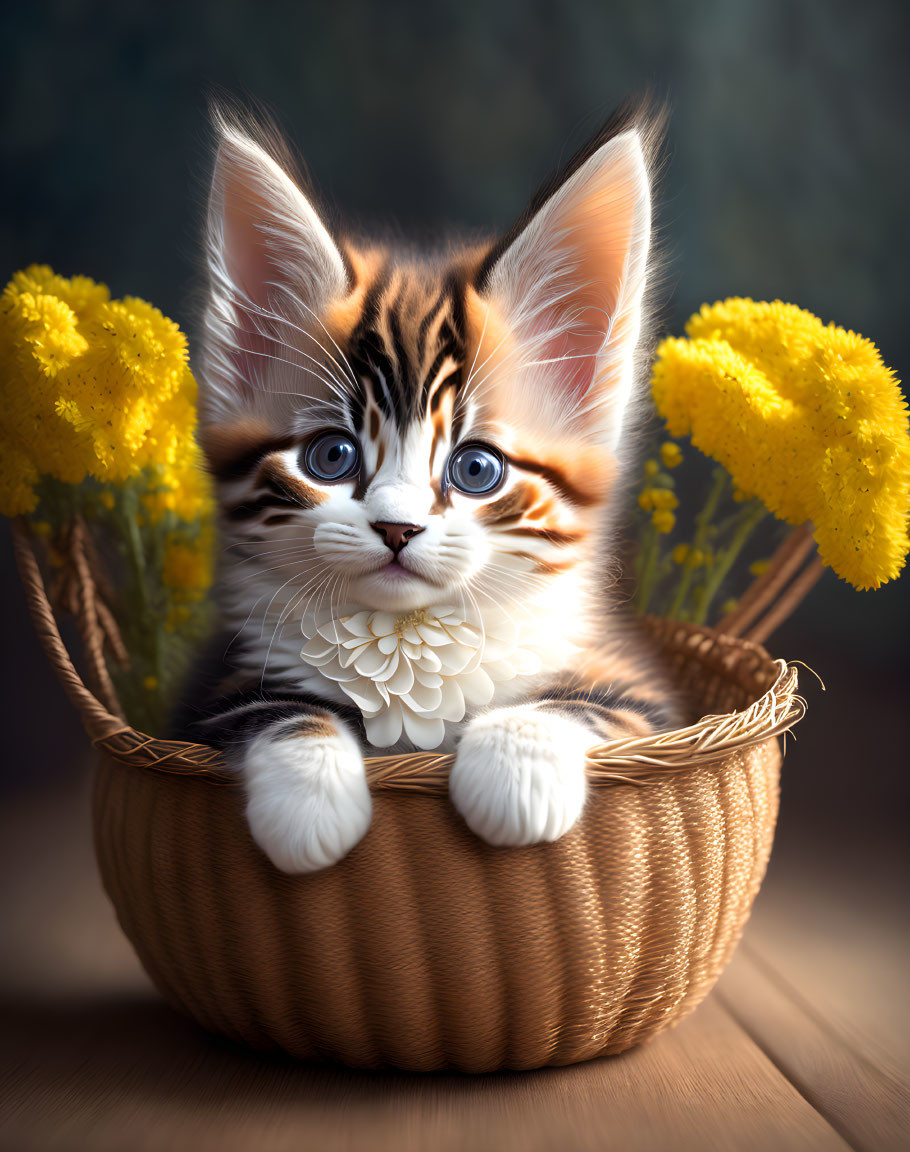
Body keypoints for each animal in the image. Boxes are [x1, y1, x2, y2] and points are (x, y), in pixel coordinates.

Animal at [182, 103, 681, 870]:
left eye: (476, 469)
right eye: (332, 457)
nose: (397, 527)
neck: (411, 643)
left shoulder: (645, 696)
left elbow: (581, 704)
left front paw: (516, 773)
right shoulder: (211, 693)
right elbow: (275, 708)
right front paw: (311, 799)